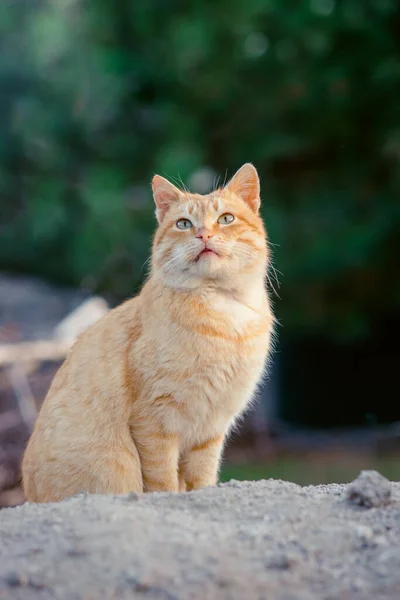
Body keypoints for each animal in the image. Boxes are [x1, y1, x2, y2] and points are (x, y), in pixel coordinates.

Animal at [22, 164, 276, 502]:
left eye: (226, 219)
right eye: (184, 224)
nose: (204, 234)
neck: (222, 309)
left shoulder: (211, 427)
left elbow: (203, 477)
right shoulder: (155, 420)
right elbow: (162, 478)